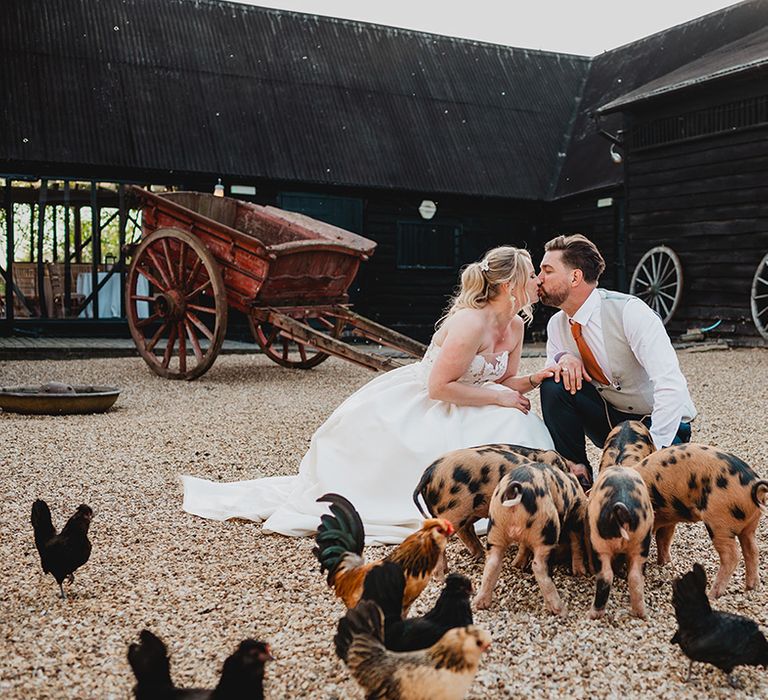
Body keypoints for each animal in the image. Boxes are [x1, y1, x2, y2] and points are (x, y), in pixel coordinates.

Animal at [414, 442, 568, 564]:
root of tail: (429, 472)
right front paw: (517, 565)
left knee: (467, 530)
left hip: (469, 512)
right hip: (452, 510)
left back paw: (479, 556)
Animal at [472, 462, 584, 616]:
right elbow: (576, 541)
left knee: (492, 564)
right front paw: (580, 573)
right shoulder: (576, 514)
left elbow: (524, 546)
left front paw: (518, 564)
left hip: (496, 529)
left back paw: (479, 604)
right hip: (546, 531)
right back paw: (561, 611)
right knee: (539, 567)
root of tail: (514, 492)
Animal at [588, 464, 656, 616]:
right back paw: (641, 615)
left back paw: (591, 615)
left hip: (599, 543)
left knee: (605, 576)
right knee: (635, 578)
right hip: (642, 540)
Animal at [636, 442, 768, 596]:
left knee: (732, 555)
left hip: (719, 521)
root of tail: (753, 484)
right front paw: (664, 563)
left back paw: (712, 595)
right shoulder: (668, 517)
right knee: (752, 550)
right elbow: (663, 539)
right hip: (749, 525)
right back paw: (751, 588)